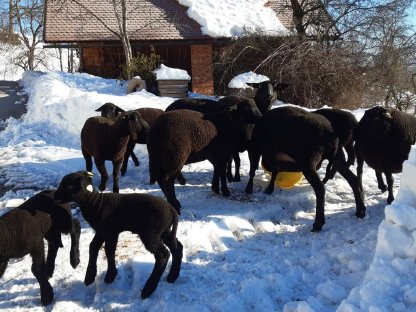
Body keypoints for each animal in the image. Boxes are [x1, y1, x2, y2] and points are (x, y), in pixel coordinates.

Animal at [53, 171, 182, 300]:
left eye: (69, 186)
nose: (54, 197)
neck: (95, 203)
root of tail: (171, 210)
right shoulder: (101, 231)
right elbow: (93, 247)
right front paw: (90, 276)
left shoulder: (110, 232)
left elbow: (109, 250)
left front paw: (110, 275)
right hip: (164, 231)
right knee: (177, 247)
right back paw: (172, 276)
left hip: (151, 234)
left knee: (163, 254)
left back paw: (148, 289)